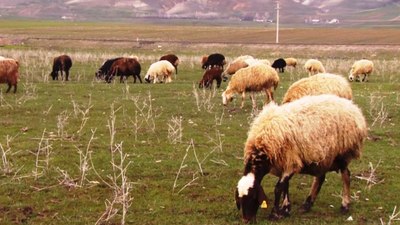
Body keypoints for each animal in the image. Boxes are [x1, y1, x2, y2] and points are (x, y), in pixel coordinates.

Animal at [234, 94, 368, 222]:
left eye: (253, 197)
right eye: (239, 200)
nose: (246, 220)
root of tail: (353, 107)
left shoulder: (290, 162)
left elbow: (278, 188)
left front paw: (275, 213)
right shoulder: (283, 164)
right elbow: (285, 186)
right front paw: (285, 209)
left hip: (342, 153)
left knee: (346, 175)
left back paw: (345, 205)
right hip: (322, 156)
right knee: (320, 177)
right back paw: (307, 204)